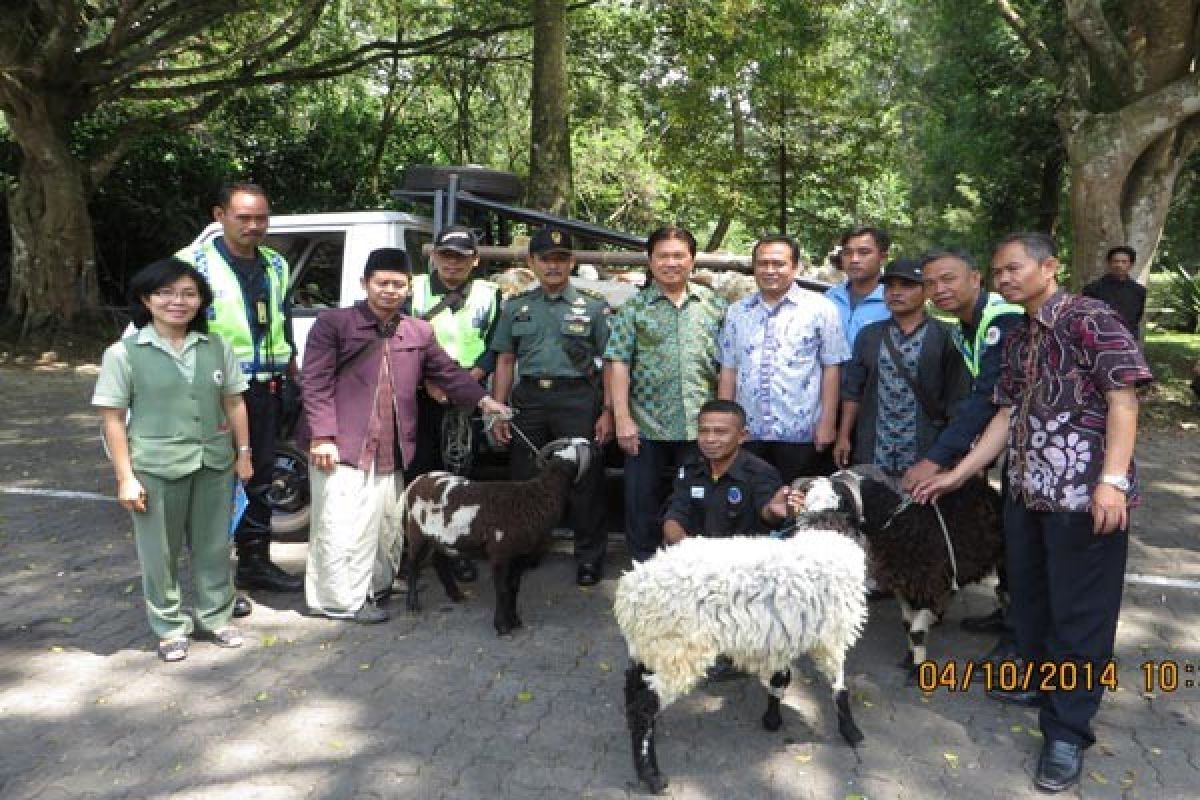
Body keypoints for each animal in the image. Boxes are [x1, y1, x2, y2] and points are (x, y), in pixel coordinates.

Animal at [614, 527, 868, 796]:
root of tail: (630, 594)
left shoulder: (780, 636)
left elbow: (780, 679)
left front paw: (772, 719)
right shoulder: (831, 635)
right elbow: (838, 684)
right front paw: (852, 731)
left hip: (652, 647)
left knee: (632, 686)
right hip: (679, 651)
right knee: (644, 706)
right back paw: (652, 776)